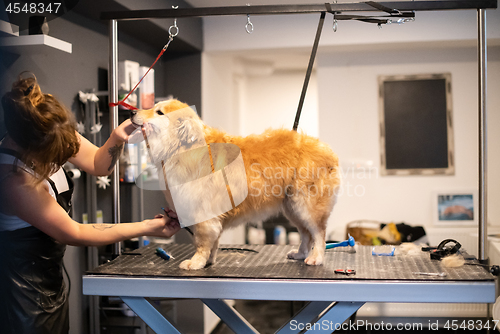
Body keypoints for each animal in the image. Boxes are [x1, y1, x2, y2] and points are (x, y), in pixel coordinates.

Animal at [131, 98, 340, 268]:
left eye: (159, 112)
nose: (132, 112)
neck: (182, 148)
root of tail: (327, 150)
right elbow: (213, 242)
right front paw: (209, 261)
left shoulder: (203, 214)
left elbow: (201, 242)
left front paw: (196, 262)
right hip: (292, 208)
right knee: (306, 234)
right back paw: (300, 254)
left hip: (306, 205)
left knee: (319, 234)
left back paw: (316, 258)